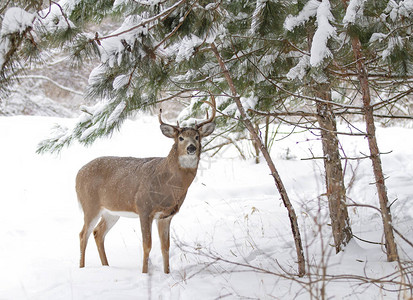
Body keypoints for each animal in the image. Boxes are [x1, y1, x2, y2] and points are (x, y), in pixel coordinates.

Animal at [75, 99, 216, 274]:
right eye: (181, 138)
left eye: (197, 136)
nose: (191, 148)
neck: (168, 185)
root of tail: (78, 174)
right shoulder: (144, 208)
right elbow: (147, 245)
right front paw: (144, 273)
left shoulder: (166, 215)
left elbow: (165, 247)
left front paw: (167, 273)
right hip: (90, 204)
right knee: (83, 234)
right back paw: (82, 268)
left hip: (111, 211)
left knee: (98, 233)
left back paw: (106, 266)